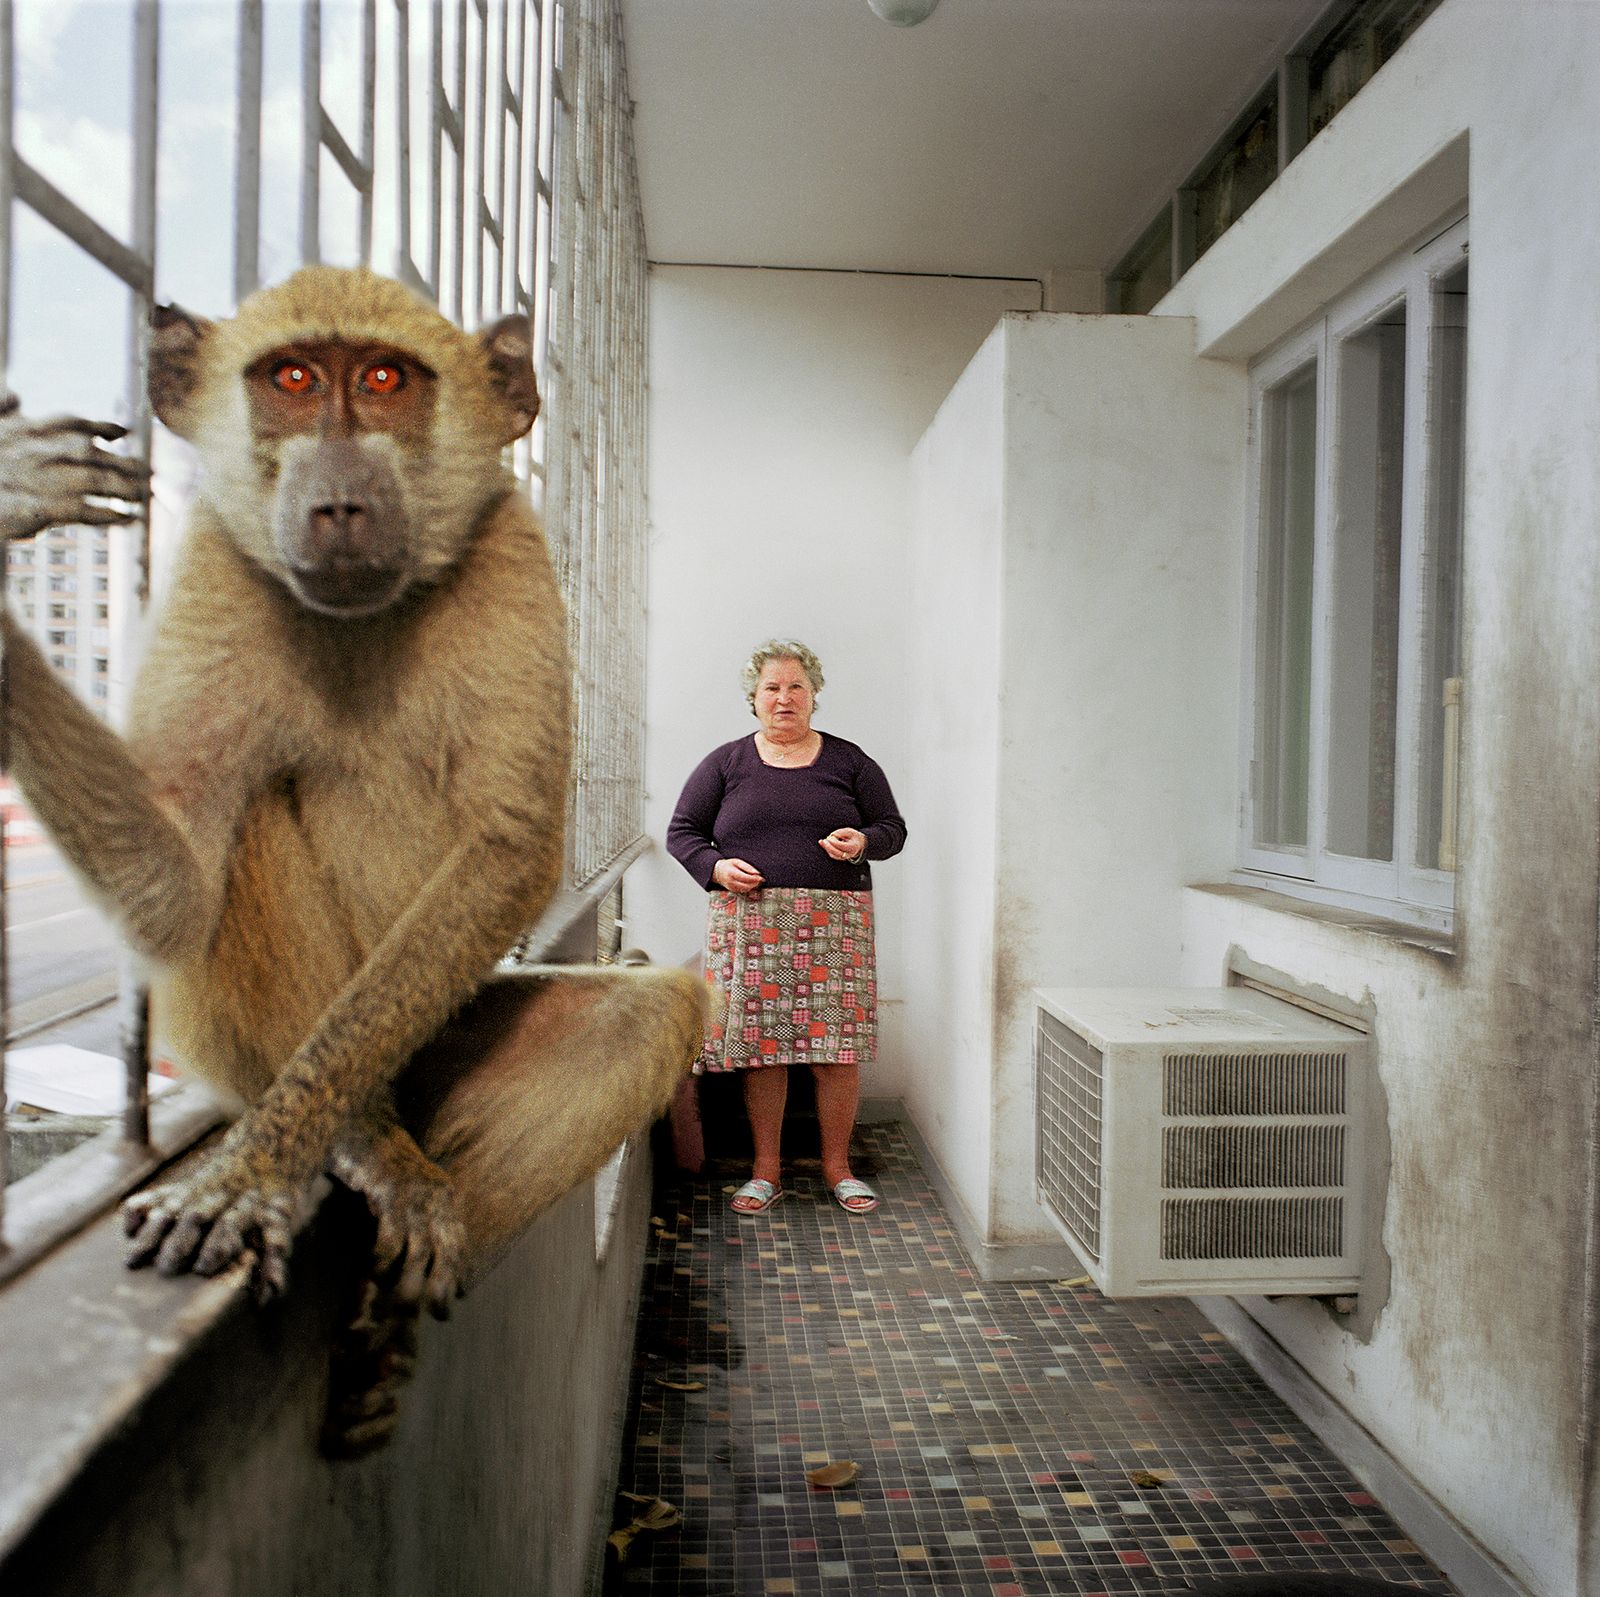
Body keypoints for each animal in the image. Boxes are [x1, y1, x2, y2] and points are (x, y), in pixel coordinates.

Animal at [0, 267, 705, 1448]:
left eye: (382, 381)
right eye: (290, 380)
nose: (336, 505)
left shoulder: (510, 551)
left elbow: (510, 850)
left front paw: (267, 1171)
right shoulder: (217, 566)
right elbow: (171, 881)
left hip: (443, 1031)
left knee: (638, 1020)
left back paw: (400, 1269)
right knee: (250, 826)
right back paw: (365, 1144)